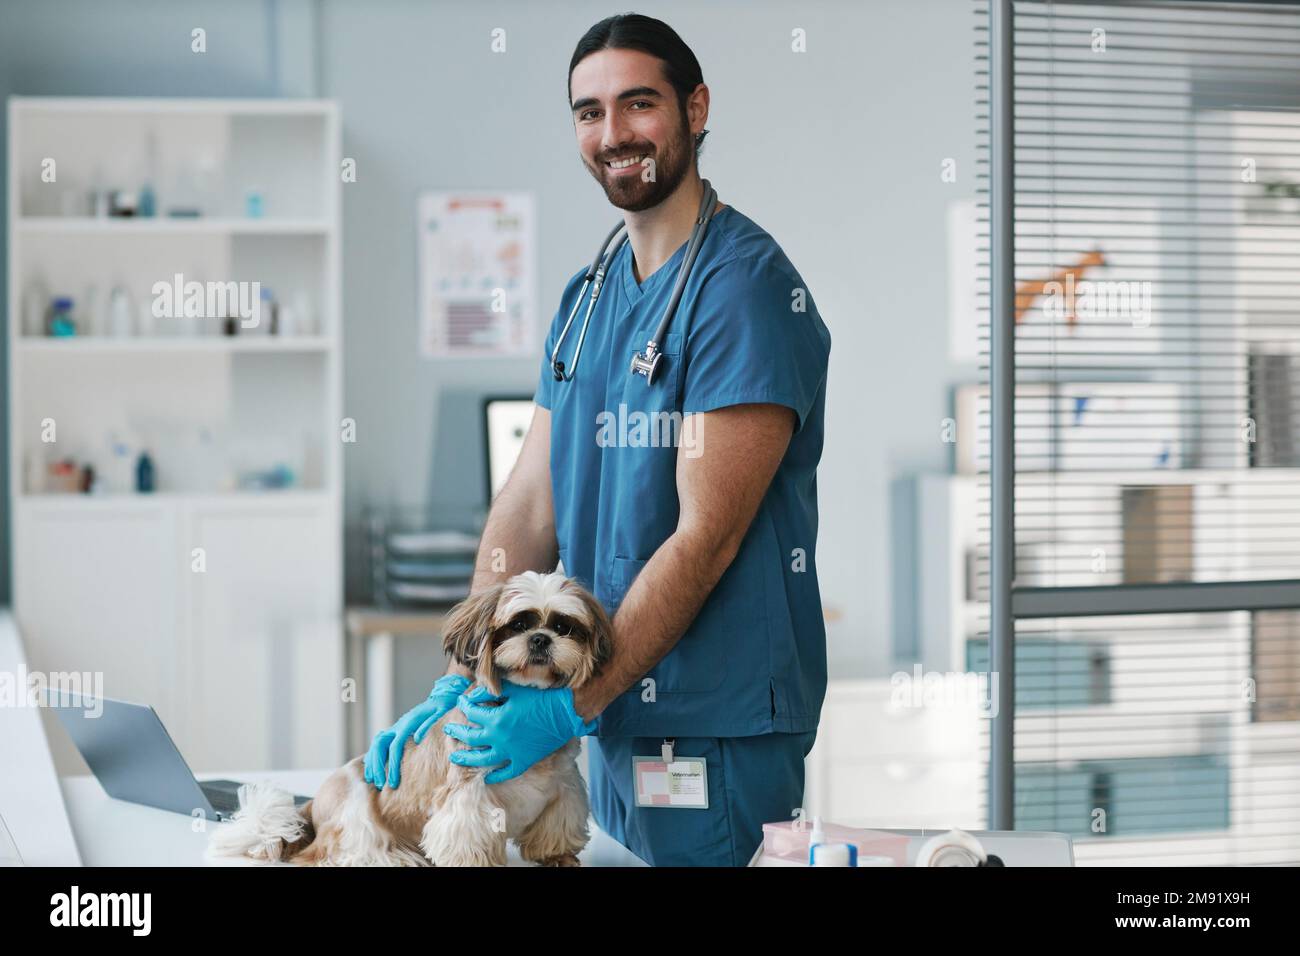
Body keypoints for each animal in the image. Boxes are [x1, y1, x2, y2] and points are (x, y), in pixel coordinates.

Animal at [210, 572, 616, 868]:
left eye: (563, 627)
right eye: (517, 625)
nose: (540, 639)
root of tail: (309, 805)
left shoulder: (566, 786)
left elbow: (558, 823)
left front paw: (558, 856)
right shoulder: (466, 793)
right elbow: (466, 835)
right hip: (357, 804)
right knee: (336, 851)